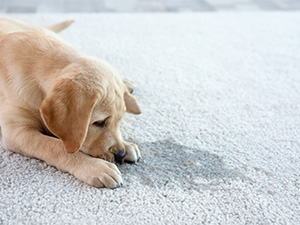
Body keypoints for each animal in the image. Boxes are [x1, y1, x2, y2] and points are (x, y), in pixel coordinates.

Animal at [0, 18, 142, 189]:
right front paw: (95, 167)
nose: (120, 153)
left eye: (119, 120)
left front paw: (127, 145)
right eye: (99, 122)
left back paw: (125, 83)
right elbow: (54, 146)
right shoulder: (17, 131)